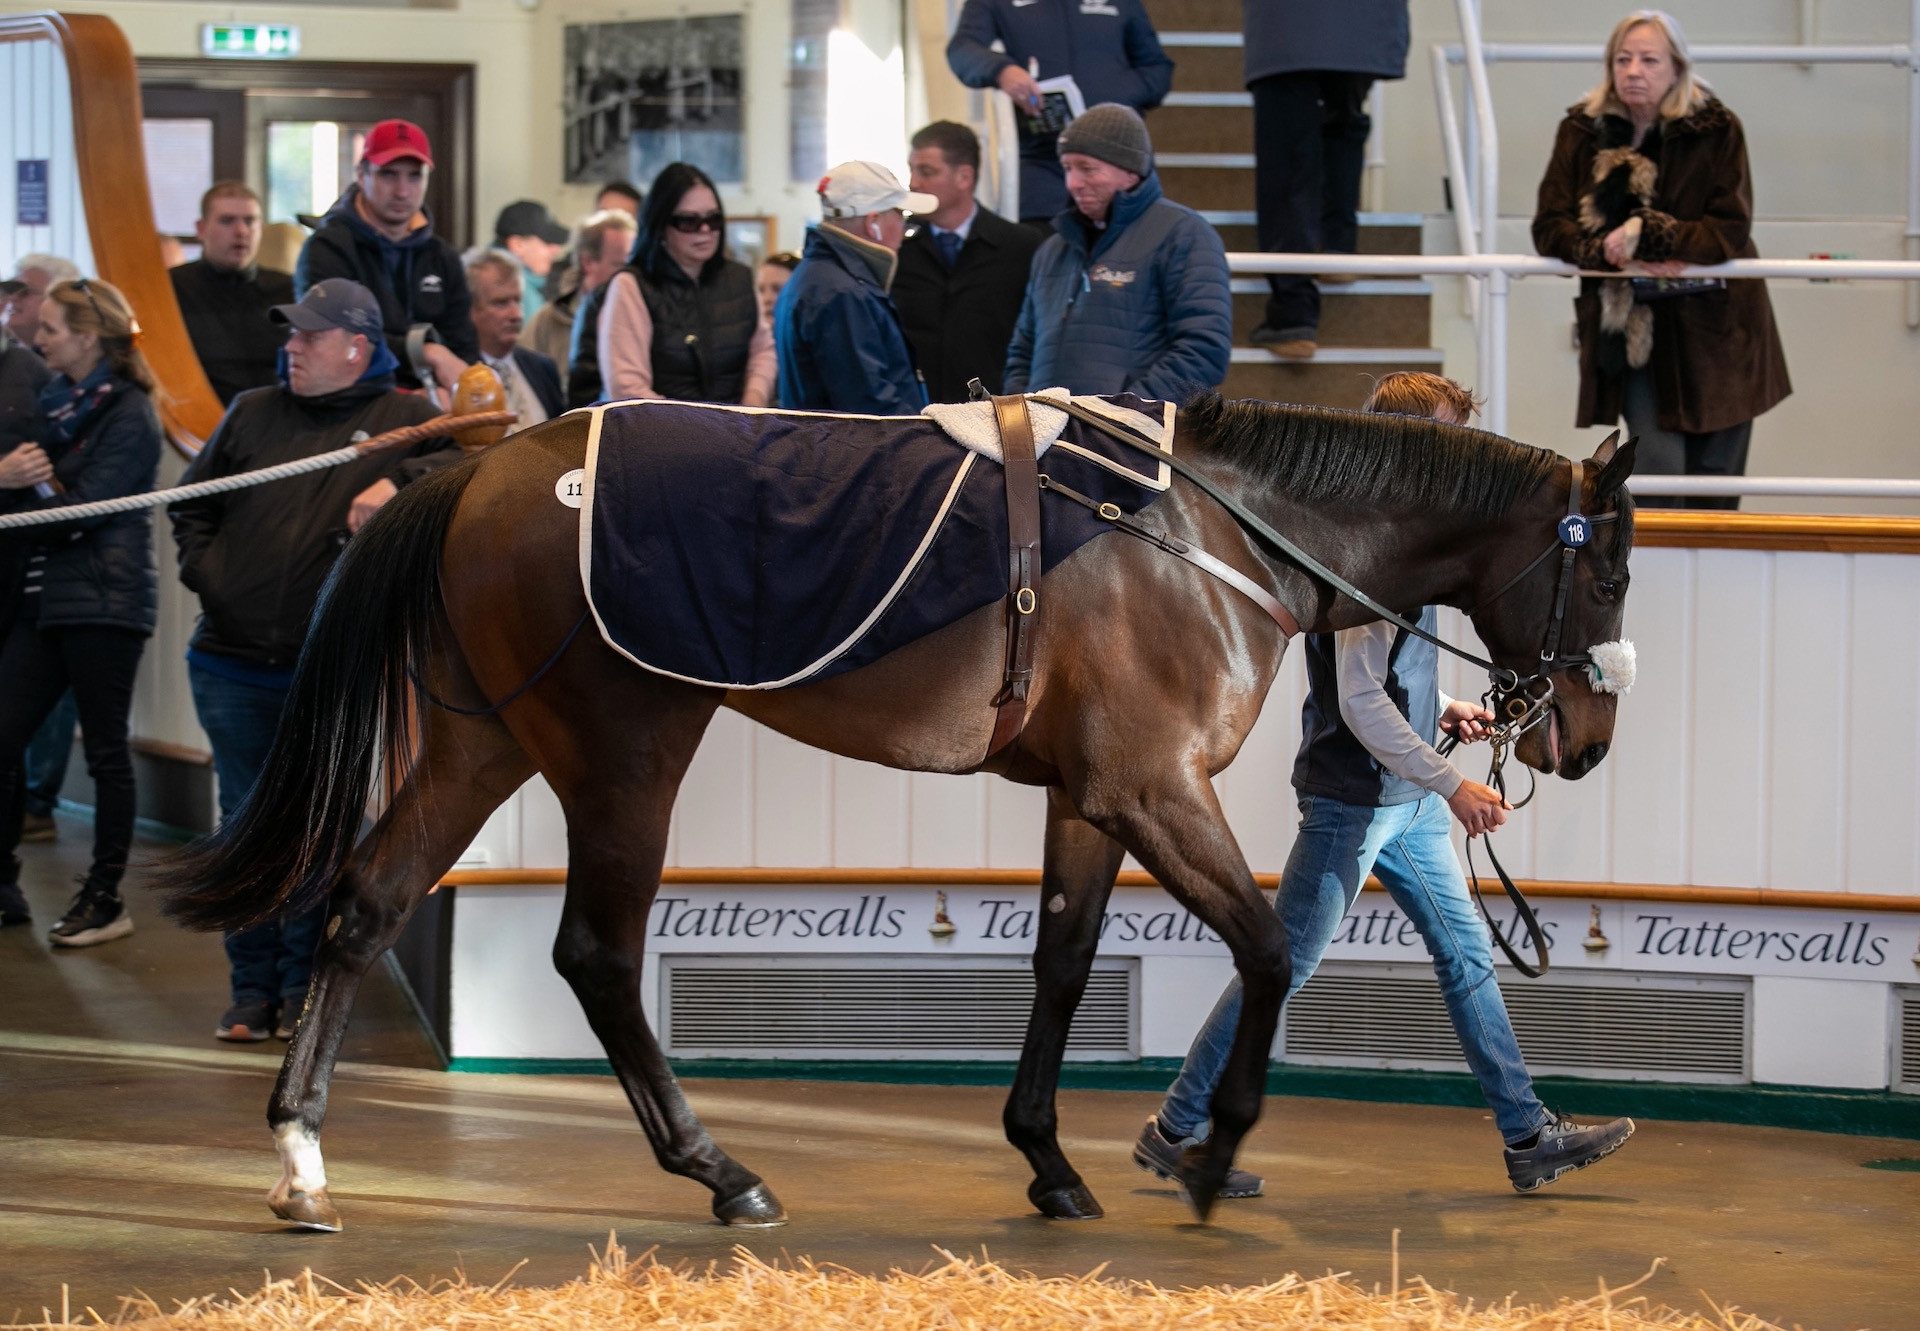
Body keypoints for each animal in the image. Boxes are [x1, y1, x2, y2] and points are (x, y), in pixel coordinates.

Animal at [153, 389, 1635, 1229]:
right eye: (1611, 570)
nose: (1591, 735)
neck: (1208, 537)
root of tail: (489, 463)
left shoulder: (1092, 796)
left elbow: (1062, 962)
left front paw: (1049, 1156)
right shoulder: (1156, 785)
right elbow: (1270, 950)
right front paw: (1213, 1152)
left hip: (483, 738)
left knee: (366, 904)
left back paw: (303, 1155)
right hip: (625, 750)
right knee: (596, 954)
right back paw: (718, 1165)